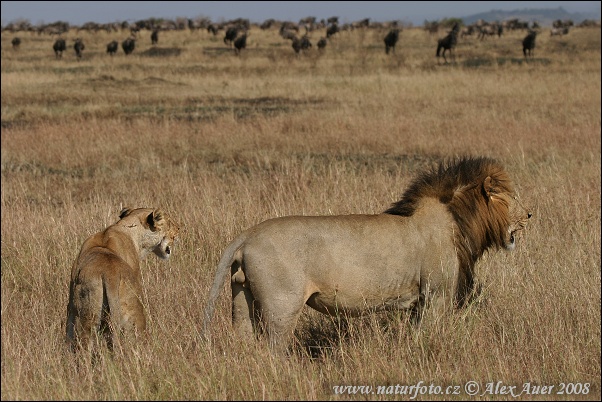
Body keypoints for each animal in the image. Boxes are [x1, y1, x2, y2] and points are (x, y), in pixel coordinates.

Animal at [202, 156, 528, 352]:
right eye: (511, 197)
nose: (530, 215)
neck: (457, 219)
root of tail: (247, 235)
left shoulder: (420, 301)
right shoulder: (436, 295)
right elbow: (429, 335)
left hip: (241, 297)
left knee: (245, 341)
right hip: (282, 306)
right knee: (274, 349)